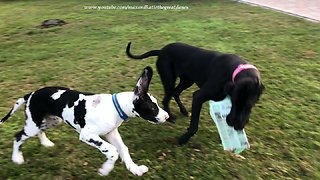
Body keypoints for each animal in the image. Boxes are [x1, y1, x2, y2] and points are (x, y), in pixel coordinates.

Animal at [0, 66, 169, 176]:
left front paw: (134, 169)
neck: (114, 107)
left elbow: (123, 150)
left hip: (52, 121)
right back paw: (17, 158)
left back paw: (46, 143)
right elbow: (112, 151)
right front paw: (105, 170)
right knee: (18, 136)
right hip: (32, 126)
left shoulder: (112, 133)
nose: (167, 116)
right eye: (153, 107)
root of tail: (31, 94)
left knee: (40, 131)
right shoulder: (88, 136)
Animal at [126, 42, 264, 145]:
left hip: (187, 81)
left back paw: (183, 111)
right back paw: (170, 117)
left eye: (249, 105)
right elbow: (194, 126)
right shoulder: (198, 96)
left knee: (176, 93)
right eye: (233, 101)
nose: (236, 126)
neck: (236, 71)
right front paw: (184, 138)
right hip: (169, 80)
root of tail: (161, 50)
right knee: (167, 98)